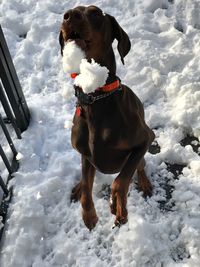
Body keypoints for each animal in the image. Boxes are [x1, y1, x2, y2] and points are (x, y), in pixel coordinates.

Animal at [59, 5, 155, 230]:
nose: (69, 16)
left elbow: (120, 181)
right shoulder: (85, 153)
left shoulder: (145, 139)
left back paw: (144, 183)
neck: (96, 97)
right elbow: (87, 190)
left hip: (142, 151)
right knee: (86, 178)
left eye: (96, 13)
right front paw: (89, 216)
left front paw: (118, 205)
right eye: (70, 11)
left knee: (140, 166)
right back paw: (78, 187)